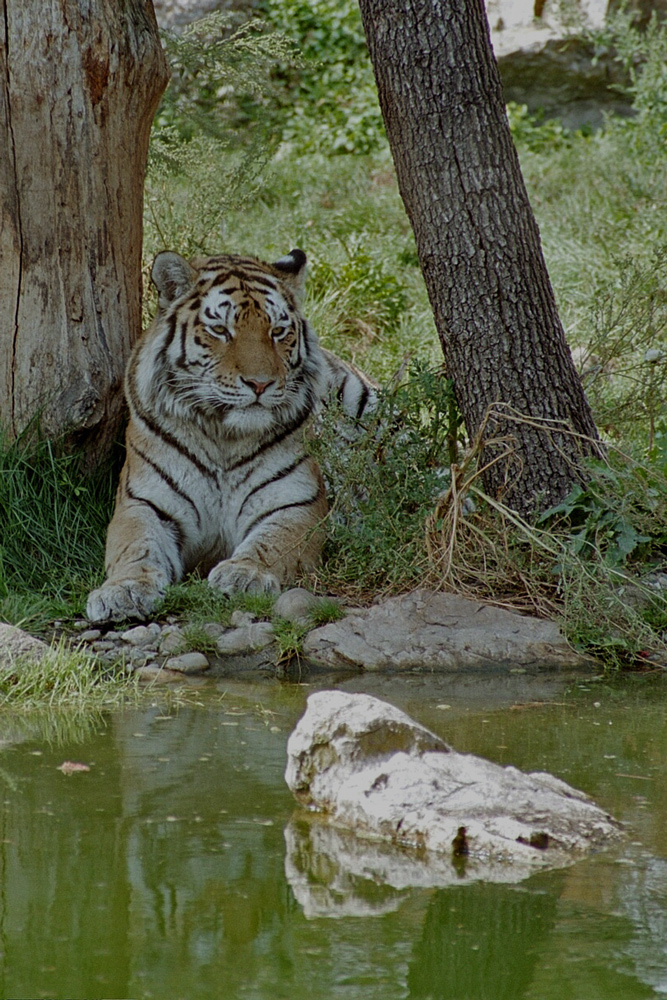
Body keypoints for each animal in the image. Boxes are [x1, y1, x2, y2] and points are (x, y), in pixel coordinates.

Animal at [86, 248, 378, 624]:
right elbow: (135, 546)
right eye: (221, 330)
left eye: (278, 331)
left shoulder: (296, 502)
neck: (222, 435)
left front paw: (244, 574)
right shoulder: (142, 502)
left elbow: (274, 542)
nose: (260, 384)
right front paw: (123, 591)